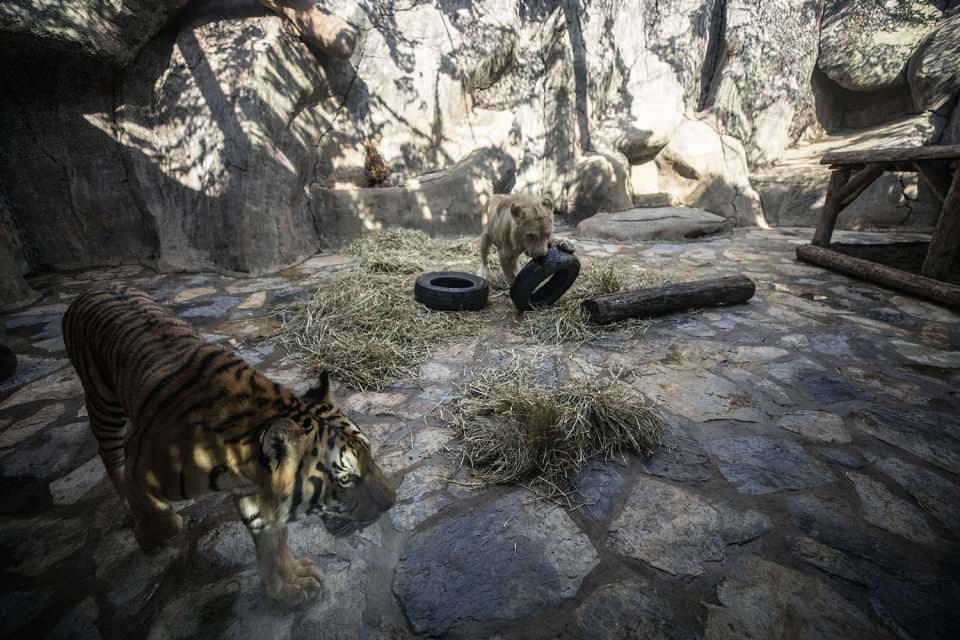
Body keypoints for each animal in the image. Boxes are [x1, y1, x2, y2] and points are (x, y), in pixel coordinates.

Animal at [61, 284, 398, 604]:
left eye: (371, 455)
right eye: (346, 478)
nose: (393, 502)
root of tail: (89, 290)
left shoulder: (255, 492)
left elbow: (272, 540)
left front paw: (288, 587)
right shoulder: (139, 464)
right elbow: (163, 521)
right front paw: (147, 534)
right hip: (103, 405)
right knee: (109, 454)